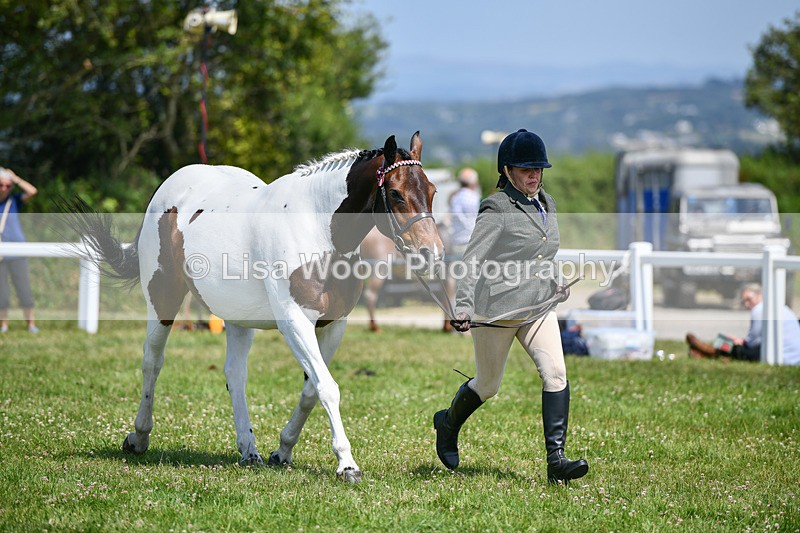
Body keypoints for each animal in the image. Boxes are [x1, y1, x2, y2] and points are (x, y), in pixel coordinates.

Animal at [65, 133, 443, 483]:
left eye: (432, 191)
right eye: (395, 193)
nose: (432, 253)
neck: (318, 231)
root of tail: (167, 190)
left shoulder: (334, 324)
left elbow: (311, 390)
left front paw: (283, 450)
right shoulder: (295, 322)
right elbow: (327, 387)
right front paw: (347, 464)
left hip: (237, 317)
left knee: (235, 375)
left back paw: (249, 451)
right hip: (163, 298)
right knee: (152, 362)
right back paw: (139, 437)